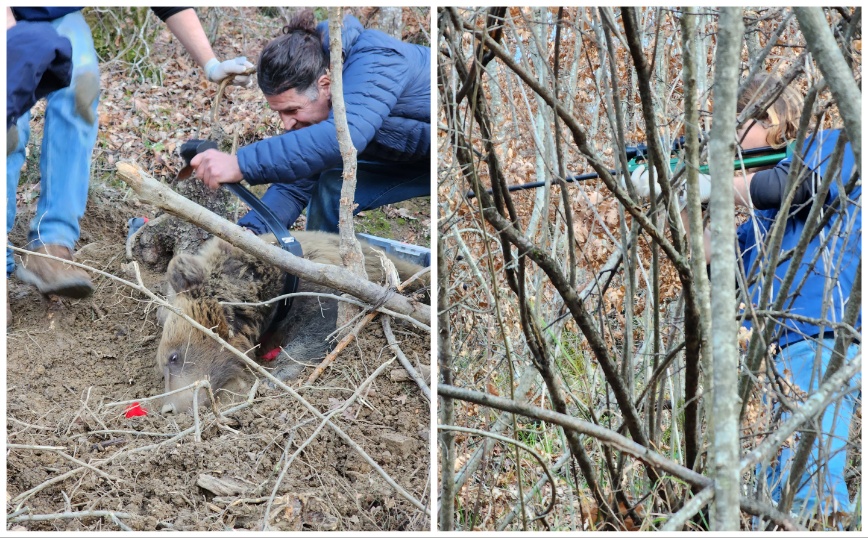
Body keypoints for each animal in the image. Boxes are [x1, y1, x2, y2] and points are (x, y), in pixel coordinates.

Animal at [158, 231, 428, 414]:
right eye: (164, 364)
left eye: (174, 357)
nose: (168, 408)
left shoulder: (319, 292)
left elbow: (317, 331)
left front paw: (276, 374)